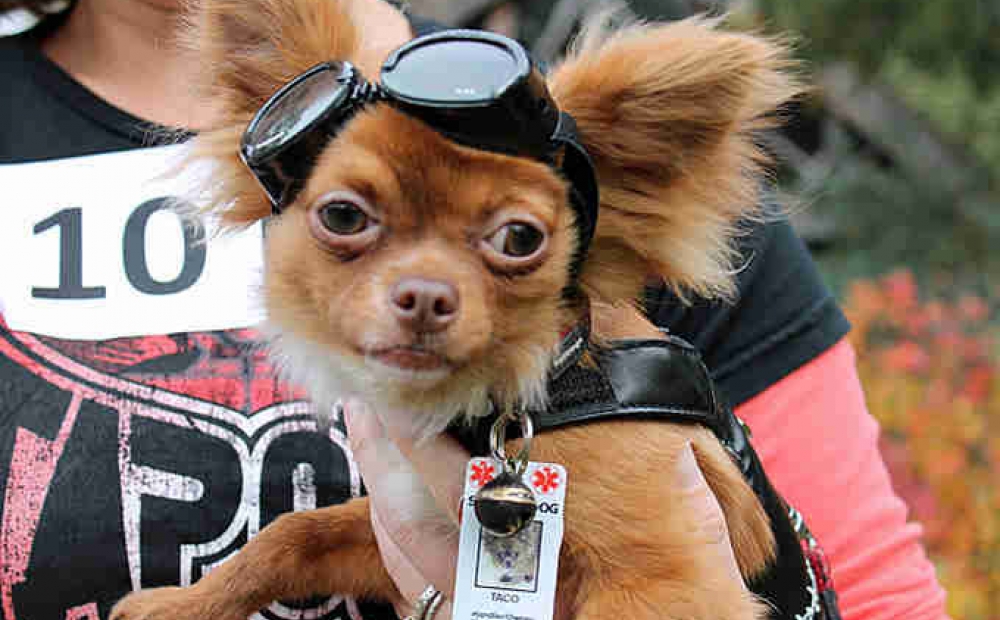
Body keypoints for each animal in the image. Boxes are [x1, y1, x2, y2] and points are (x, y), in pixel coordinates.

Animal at [113, 0, 800, 616]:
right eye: (343, 216)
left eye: (519, 238)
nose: (425, 296)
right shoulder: (398, 522)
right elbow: (291, 536)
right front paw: (181, 606)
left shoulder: (664, 578)